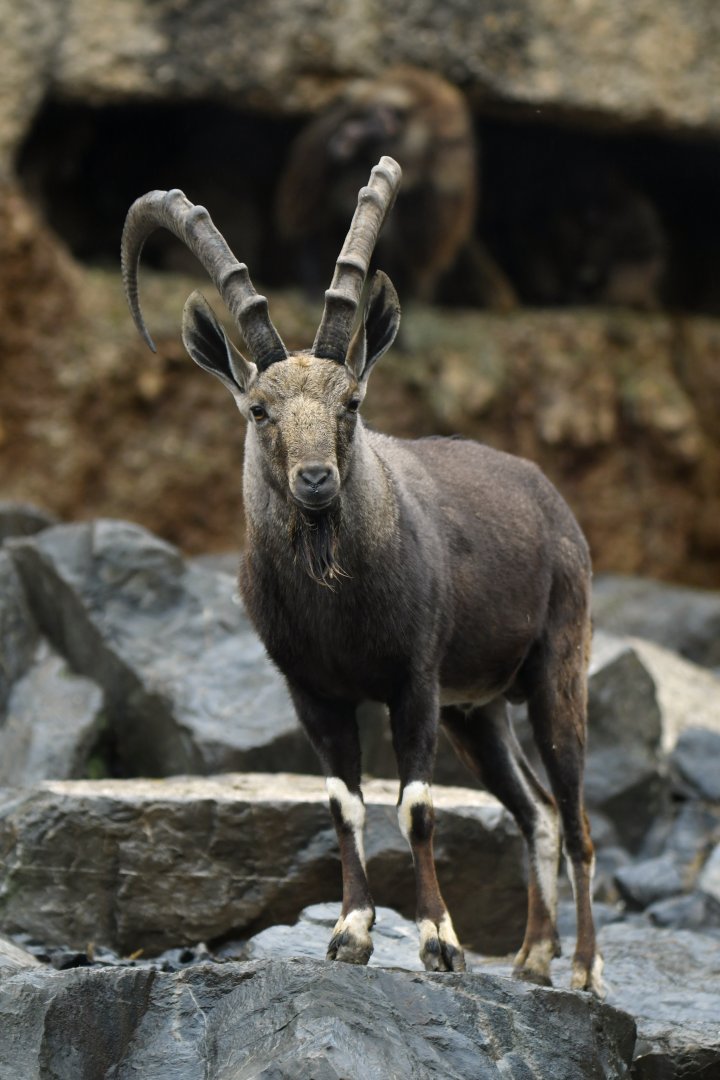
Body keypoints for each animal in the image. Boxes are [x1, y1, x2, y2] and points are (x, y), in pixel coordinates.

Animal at [121, 156, 603, 996]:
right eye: (259, 409)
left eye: (350, 400)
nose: (315, 480)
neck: (335, 604)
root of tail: (549, 497)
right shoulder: (314, 690)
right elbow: (343, 804)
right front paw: (349, 934)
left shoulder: (414, 680)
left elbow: (415, 807)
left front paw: (440, 944)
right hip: (477, 712)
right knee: (537, 810)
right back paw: (532, 957)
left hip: (553, 668)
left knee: (576, 815)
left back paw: (582, 968)